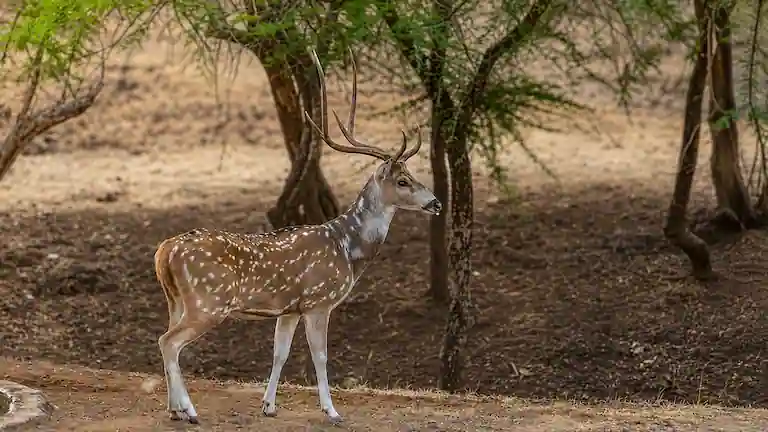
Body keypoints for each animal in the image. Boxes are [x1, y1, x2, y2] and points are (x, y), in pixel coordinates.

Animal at [153, 48, 442, 425]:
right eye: (403, 180)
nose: (436, 203)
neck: (346, 249)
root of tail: (165, 251)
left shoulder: (289, 308)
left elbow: (281, 353)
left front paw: (268, 405)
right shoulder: (319, 300)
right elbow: (320, 356)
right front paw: (332, 411)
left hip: (176, 300)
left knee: (166, 340)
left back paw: (174, 409)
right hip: (208, 301)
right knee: (169, 342)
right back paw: (188, 410)